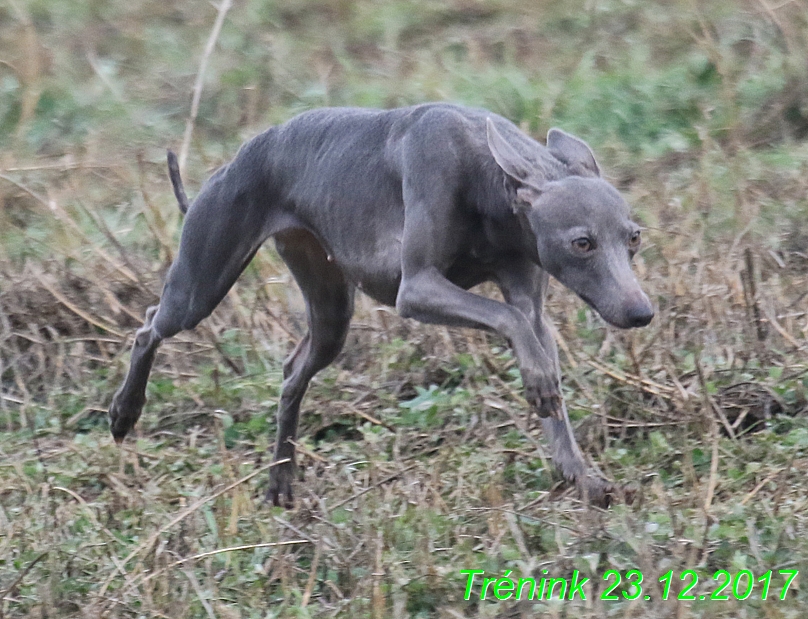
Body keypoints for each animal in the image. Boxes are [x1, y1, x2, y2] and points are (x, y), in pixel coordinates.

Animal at [109, 103, 652, 508]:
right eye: (582, 243)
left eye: (634, 237)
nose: (642, 313)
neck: (490, 180)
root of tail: (235, 159)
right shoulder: (416, 288)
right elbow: (509, 319)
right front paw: (539, 384)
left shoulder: (526, 289)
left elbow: (532, 334)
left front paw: (583, 477)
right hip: (201, 282)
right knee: (149, 326)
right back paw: (123, 412)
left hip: (328, 308)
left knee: (292, 372)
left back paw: (281, 479)